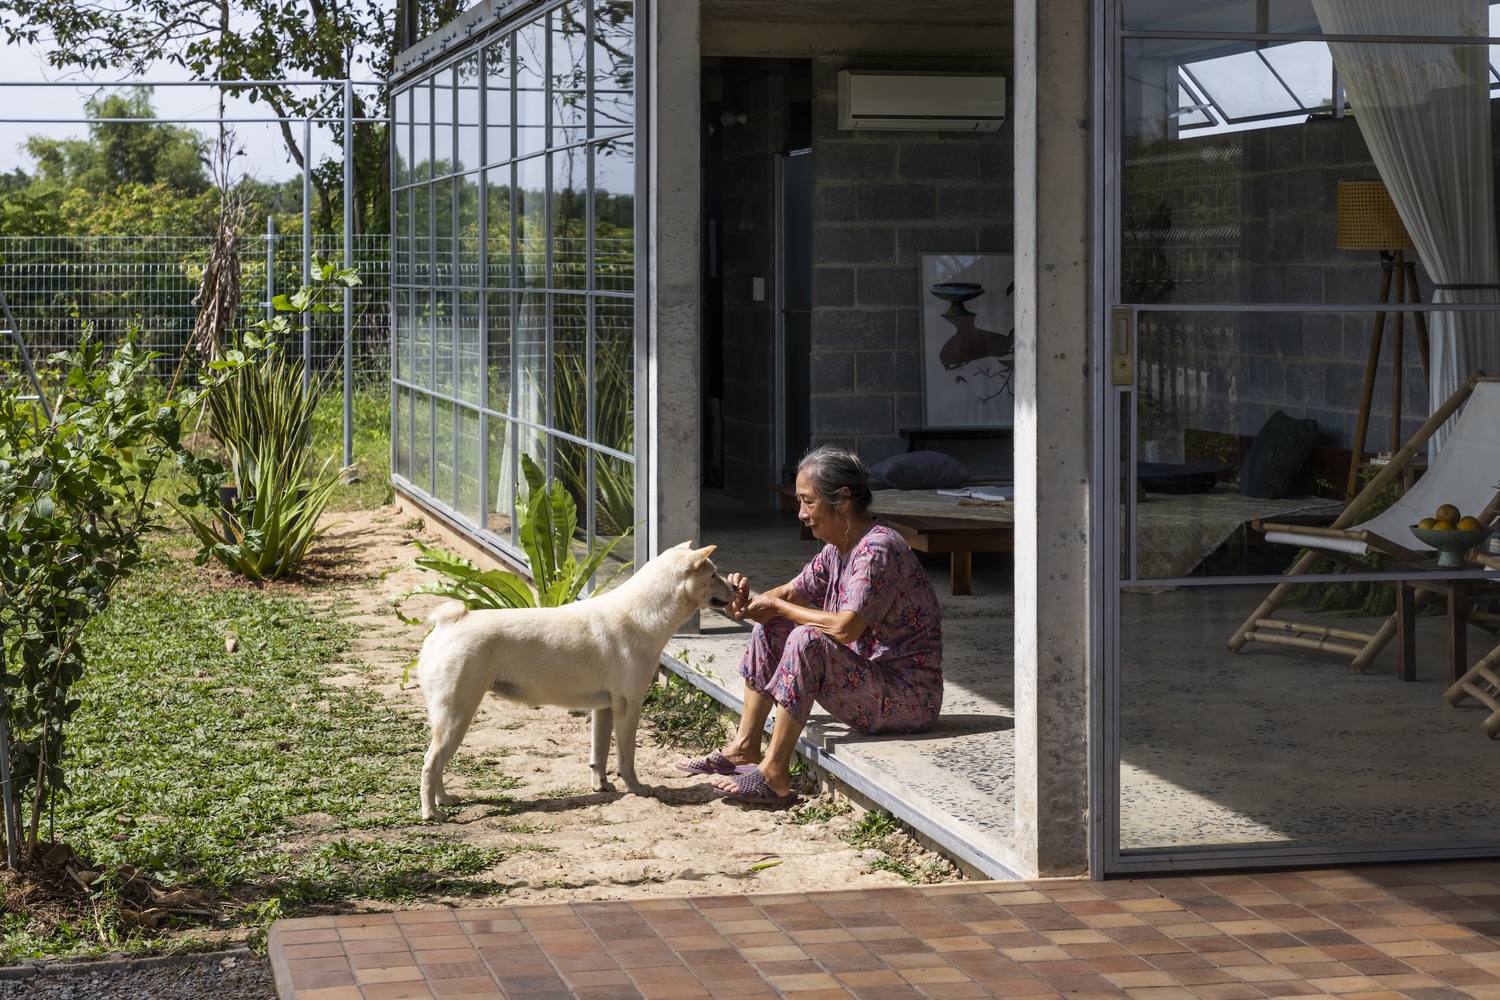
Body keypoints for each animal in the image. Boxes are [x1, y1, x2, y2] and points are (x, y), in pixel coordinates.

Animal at [415, 541, 736, 820]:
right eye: (713, 574)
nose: (735, 587)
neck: (640, 614)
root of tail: (451, 622)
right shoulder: (628, 707)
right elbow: (626, 758)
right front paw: (636, 789)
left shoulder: (604, 710)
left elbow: (600, 754)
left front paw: (602, 787)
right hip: (457, 716)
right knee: (431, 763)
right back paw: (432, 813)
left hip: (450, 719)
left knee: (438, 762)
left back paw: (445, 800)